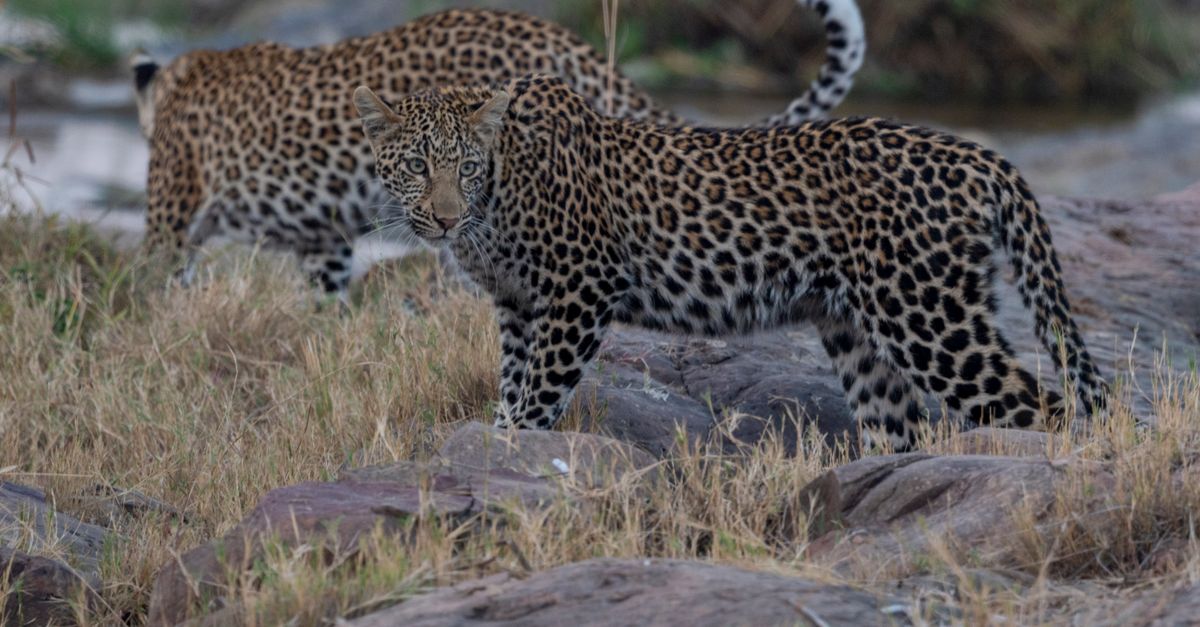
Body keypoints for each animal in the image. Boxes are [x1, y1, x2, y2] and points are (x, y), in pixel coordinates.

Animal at [353, 74, 1108, 450]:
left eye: (467, 167)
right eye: (417, 167)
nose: (444, 218)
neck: (498, 196)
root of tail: (976, 154)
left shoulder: (579, 289)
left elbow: (539, 389)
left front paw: (514, 444)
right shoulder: (517, 303)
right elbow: (514, 380)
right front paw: (499, 436)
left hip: (928, 318)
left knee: (1044, 407)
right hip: (862, 334)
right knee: (903, 426)